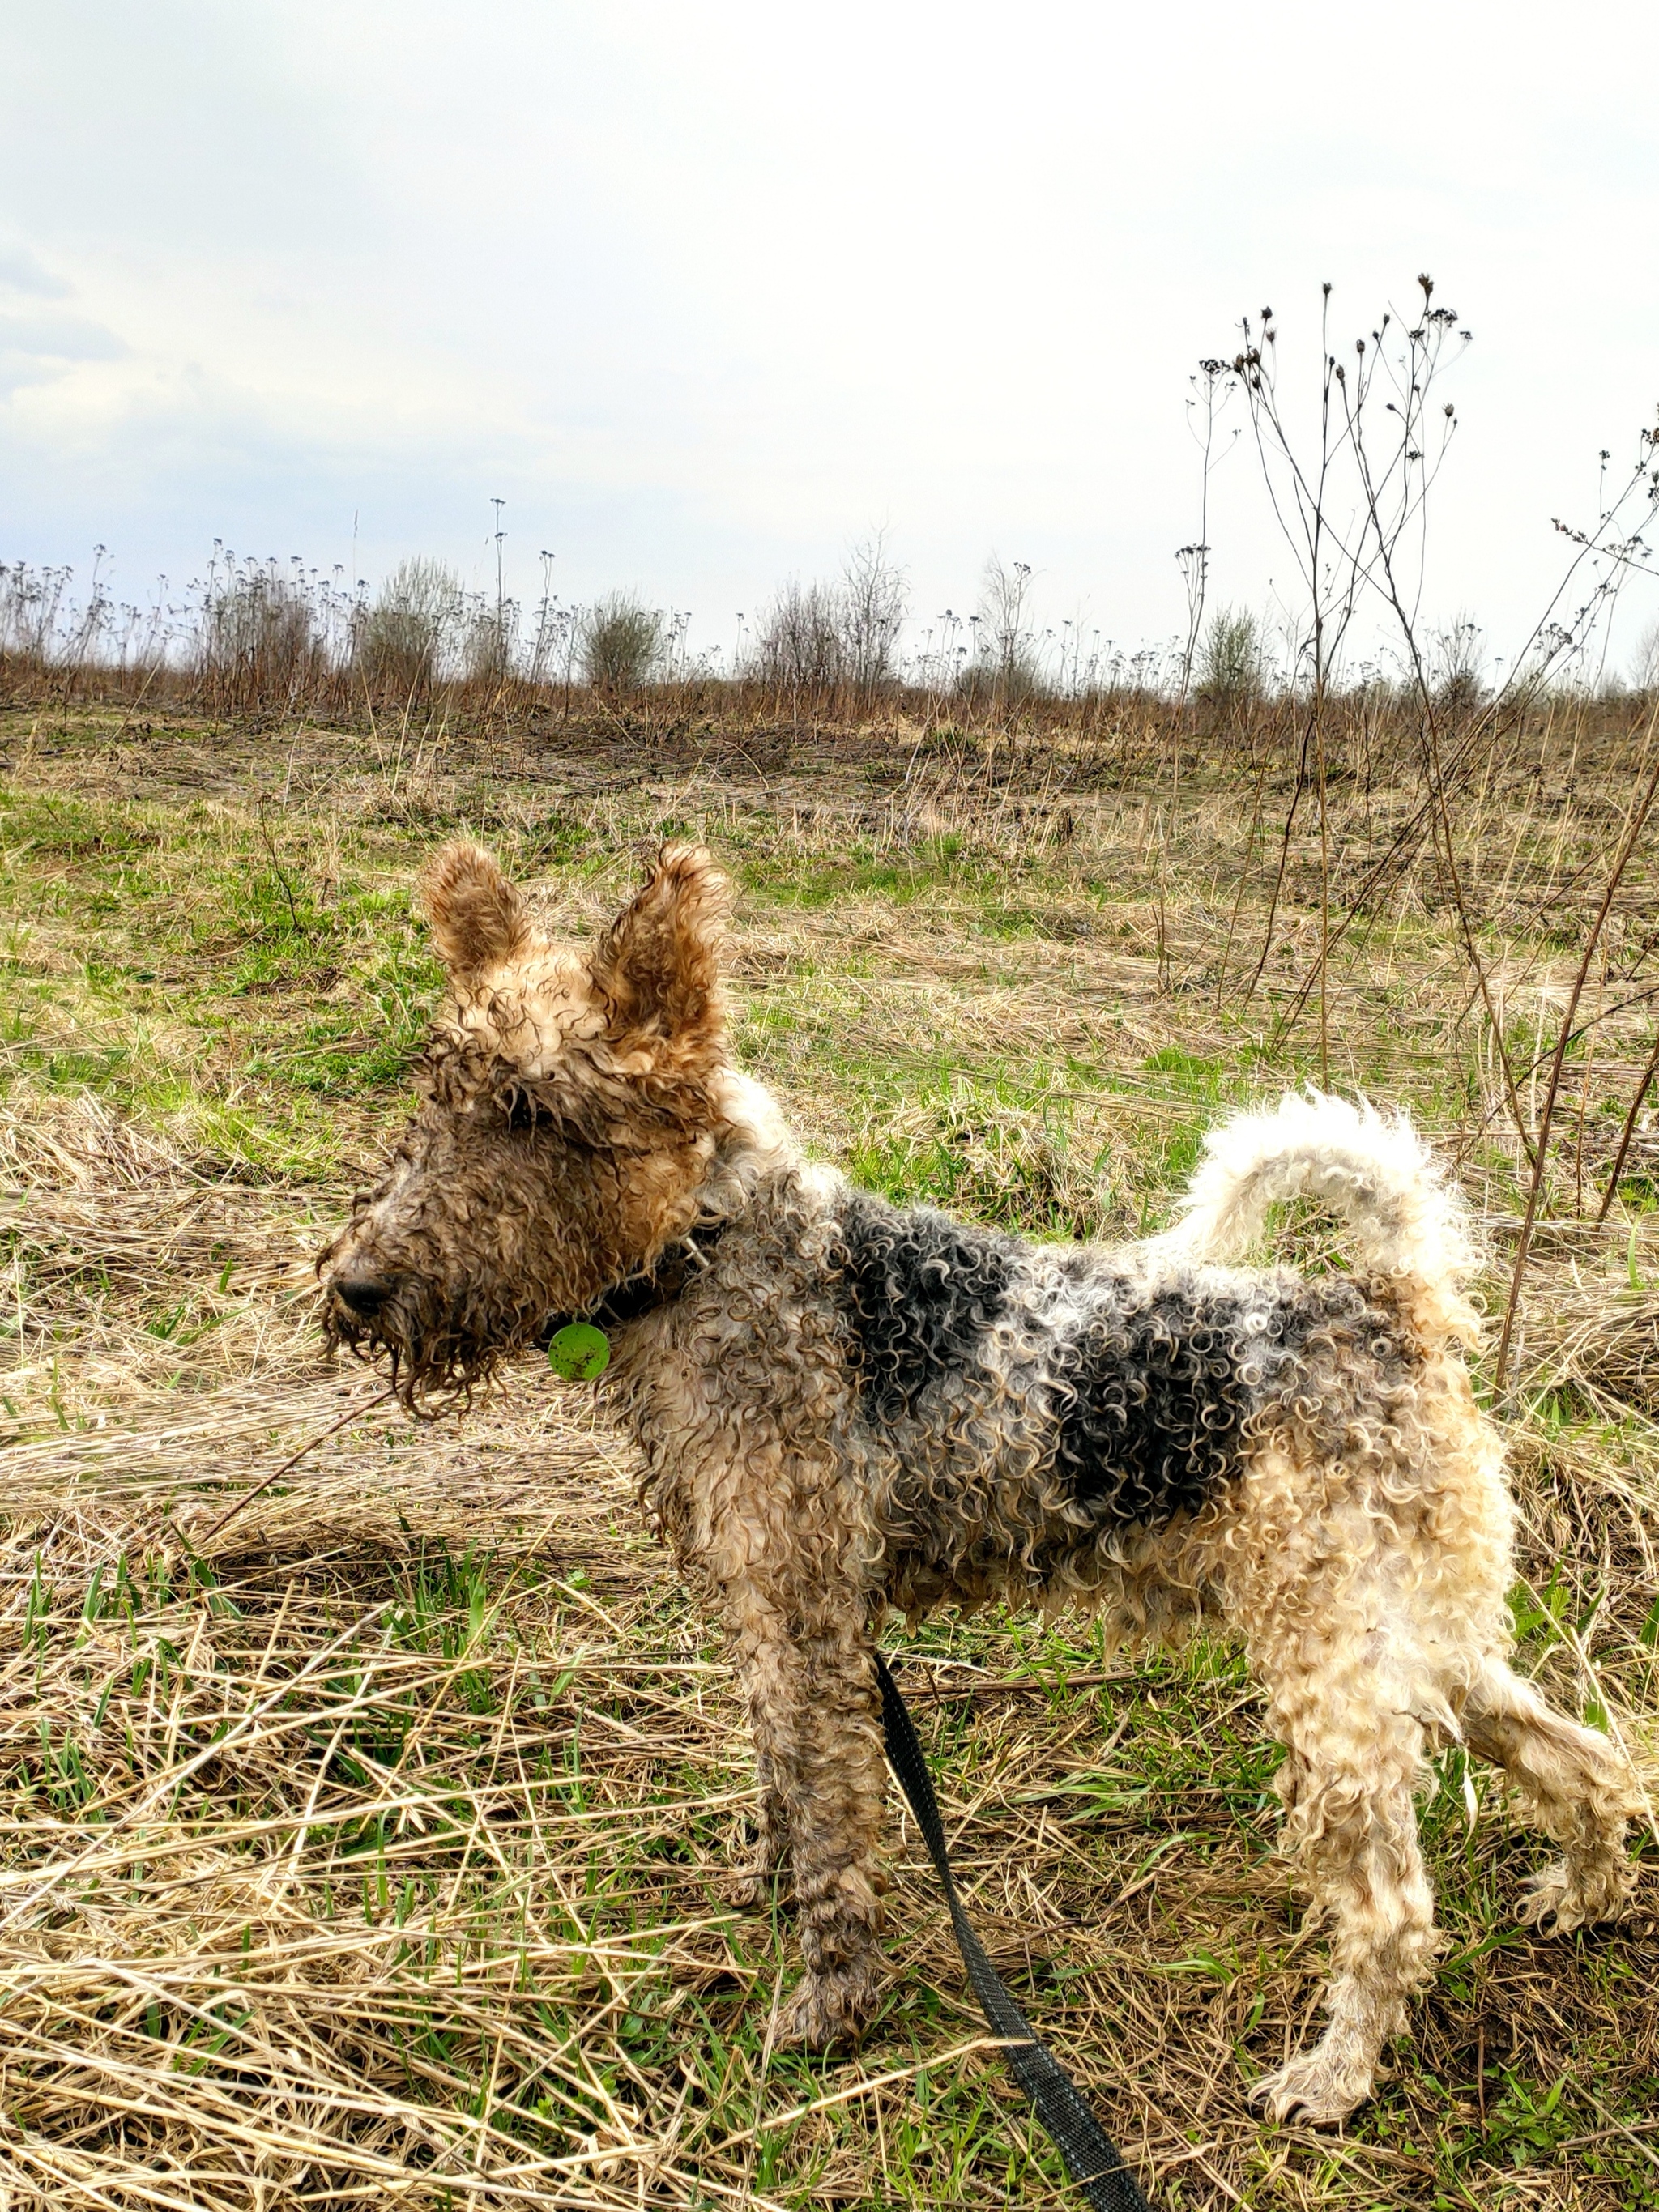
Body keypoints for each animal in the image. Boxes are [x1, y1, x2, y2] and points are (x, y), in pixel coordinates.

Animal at [318, 836, 1645, 2114]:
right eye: (439, 1091)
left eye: (537, 1113)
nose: (356, 1287)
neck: (710, 1246)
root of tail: (1390, 1302)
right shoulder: (771, 1611)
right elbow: (782, 1789)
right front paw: (765, 1883)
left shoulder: (804, 1621)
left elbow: (831, 1817)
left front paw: (828, 2001)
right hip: (1419, 1637)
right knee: (1586, 1757)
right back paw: (1581, 1892)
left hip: (1336, 1674)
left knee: (1392, 1903)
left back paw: (1333, 2073)